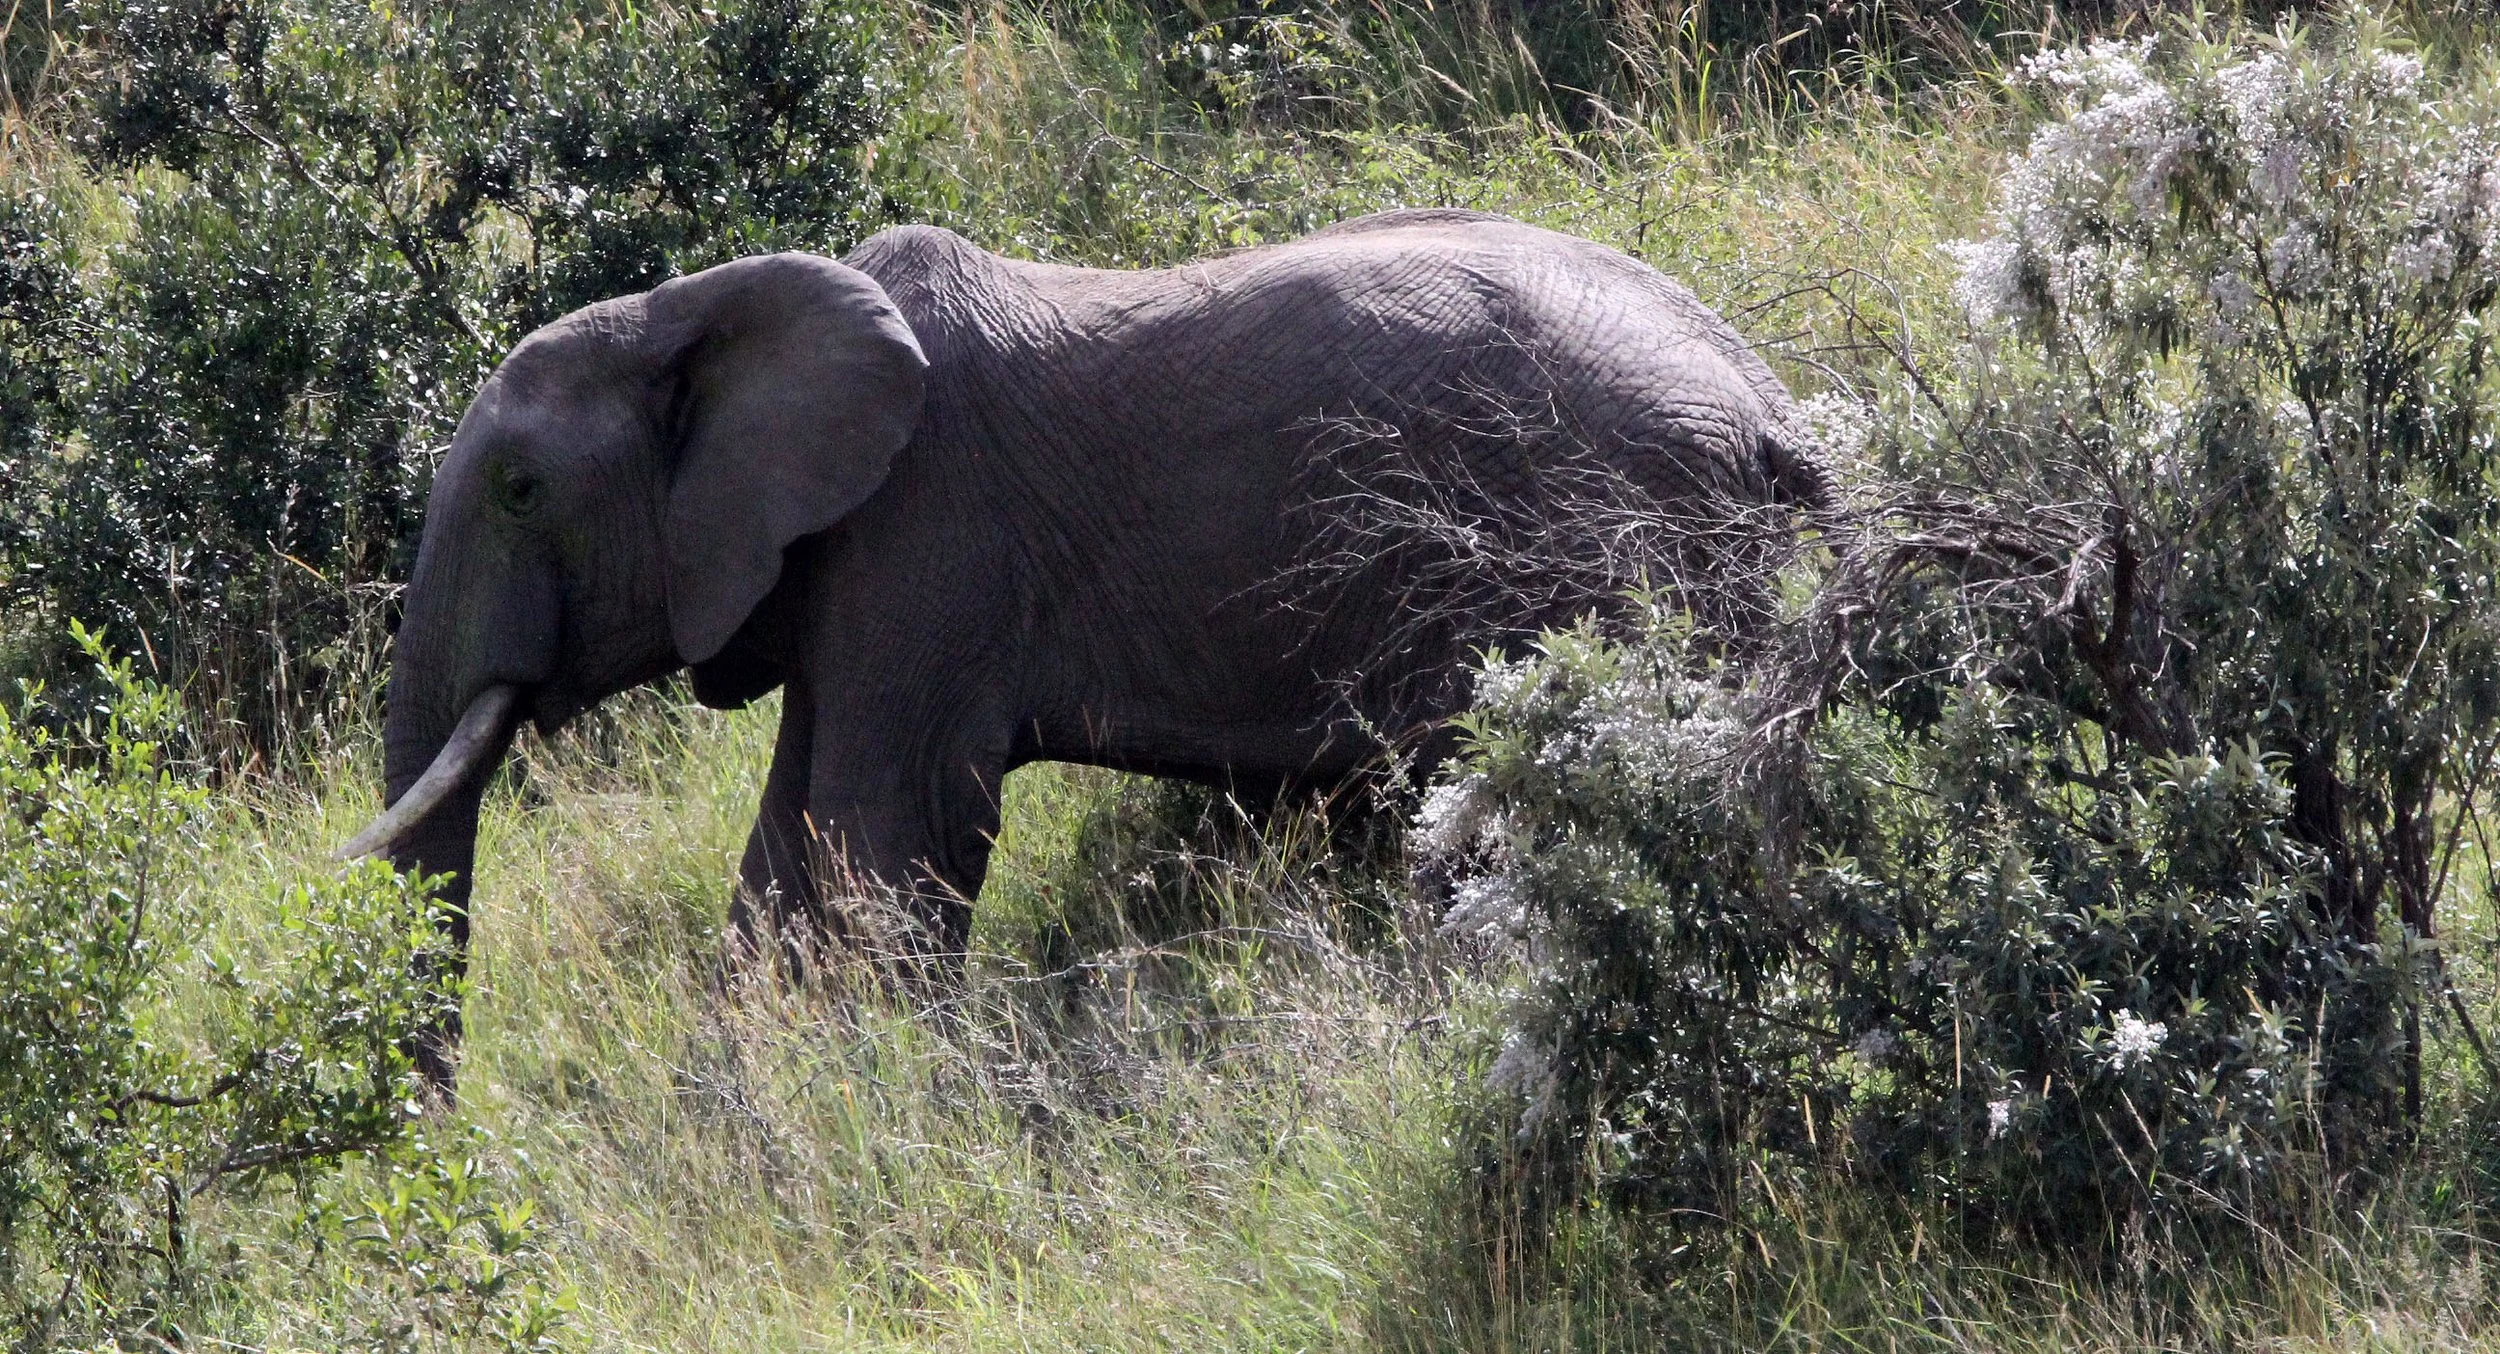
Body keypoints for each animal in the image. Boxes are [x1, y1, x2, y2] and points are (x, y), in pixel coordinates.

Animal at [341, 208, 1828, 1085]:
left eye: (520, 490)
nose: (444, 1118)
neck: (692, 306)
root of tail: (1773, 409)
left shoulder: (926, 536)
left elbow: (891, 829)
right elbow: (787, 847)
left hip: (1599, 561)